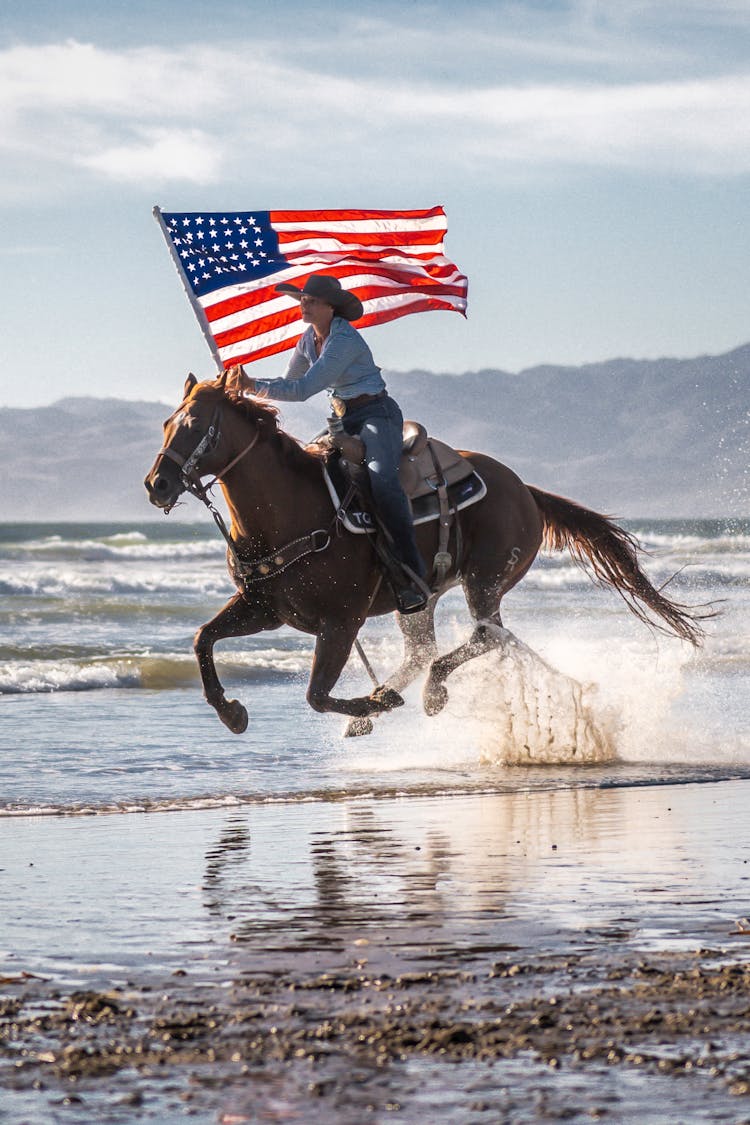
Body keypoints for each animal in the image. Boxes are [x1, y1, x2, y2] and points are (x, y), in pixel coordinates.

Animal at [143, 371, 706, 738]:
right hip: (421, 597)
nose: (156, 484)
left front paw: (374, 703)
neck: (292, 510)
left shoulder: (340, 622)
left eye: (194, 424)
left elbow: (316, 694)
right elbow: (203, 638)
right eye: (167, 422)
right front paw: (231, 712)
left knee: (486, 637)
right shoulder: (265, 609)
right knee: (429, 649)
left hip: (485, 580)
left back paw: (427, 695)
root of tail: (523, 488)